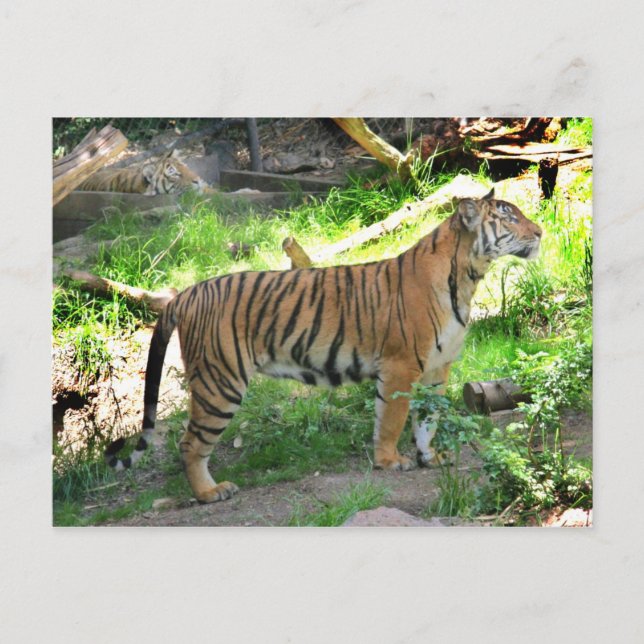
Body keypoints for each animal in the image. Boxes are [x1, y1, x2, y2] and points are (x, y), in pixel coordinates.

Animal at [105, 187, 542, 503]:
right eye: (508, 217)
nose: (539, 232)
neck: (469, 276)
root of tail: (187, 293)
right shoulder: (401, 366)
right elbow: (393, 419)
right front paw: (389, 461)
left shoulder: (437, 368)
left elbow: (427, 420)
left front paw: (429, 457)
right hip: (220, 382)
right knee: (190, 442)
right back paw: (210, 492)